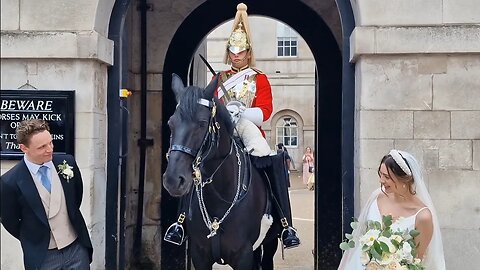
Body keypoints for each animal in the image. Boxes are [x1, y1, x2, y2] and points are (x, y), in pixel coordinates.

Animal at [163, 74, 280, 270]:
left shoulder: (243, 256)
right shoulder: (200, 256)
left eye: (202, 124)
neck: (219, 195)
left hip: (269, 242)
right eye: (171, 123)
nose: (172, 180)